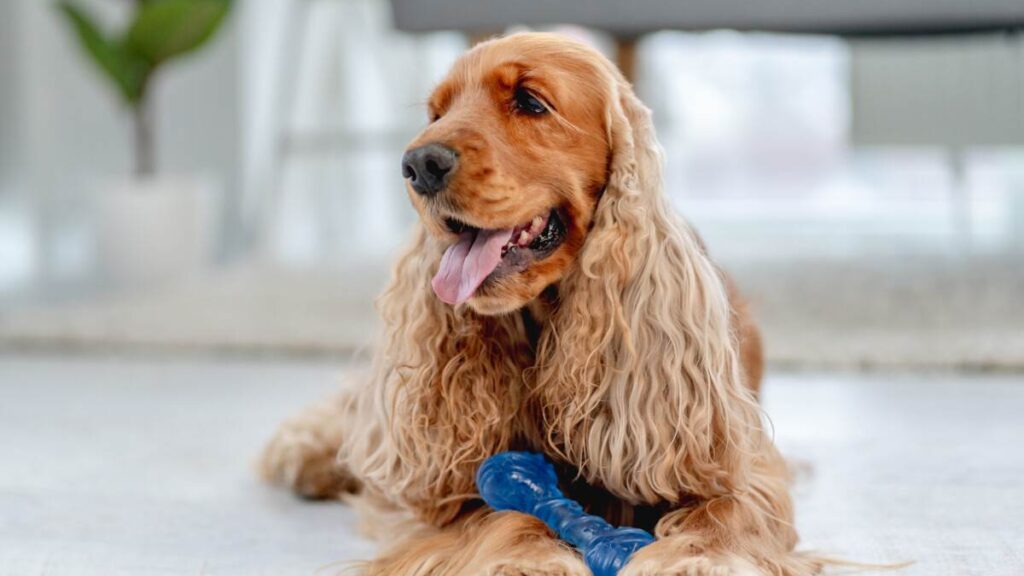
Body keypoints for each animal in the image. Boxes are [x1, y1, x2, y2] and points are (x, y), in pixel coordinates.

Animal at [260, 32, 819, 573]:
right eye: (436, 113)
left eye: (530, 101)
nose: (418, 164)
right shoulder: (468, 471)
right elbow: (503, 511)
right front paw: (528, 559)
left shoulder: (735, 459)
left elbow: (726, 511)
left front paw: (696, 560)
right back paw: (306, 453)